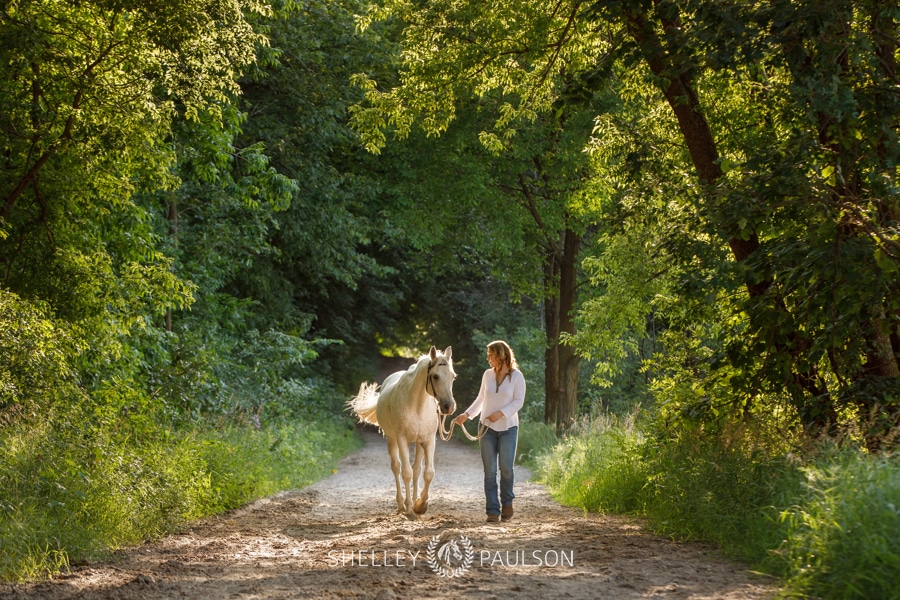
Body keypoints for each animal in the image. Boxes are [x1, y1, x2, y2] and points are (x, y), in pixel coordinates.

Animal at [346, 346, 458, 516]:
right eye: (435, 376)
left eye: (453, 376)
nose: (448, 407)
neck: (417, 406)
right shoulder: (402, 439)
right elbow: (406, 473)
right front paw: (410, 508)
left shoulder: (428, 440)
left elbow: (428, 473)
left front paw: (421, 505)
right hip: (392, 439)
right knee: (397, 467)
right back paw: (401, 505)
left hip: (418, 443)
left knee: (417, 469)